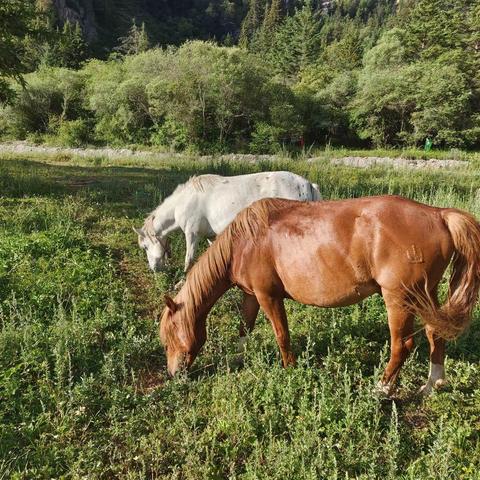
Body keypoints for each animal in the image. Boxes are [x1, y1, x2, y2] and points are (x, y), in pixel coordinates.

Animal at [133, 171, 320, 272]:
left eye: (145, 247)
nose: (154, 269)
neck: (183, 201)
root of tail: (307, 184)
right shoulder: (211, 235)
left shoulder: (192, 234)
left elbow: (189, 258)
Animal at [158, 195, 480, 394]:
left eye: (169, 338)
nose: (174, 374)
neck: (244, 242)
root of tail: (438, 214)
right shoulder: (251, 296)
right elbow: (244, 329)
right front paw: (239, 358)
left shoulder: (268, 296)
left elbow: (281, 335)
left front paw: (289, 370)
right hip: (425, 297)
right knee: (435, 333)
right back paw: (433, 385)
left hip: (399, 298)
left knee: (403, 345)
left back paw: (383, 388)